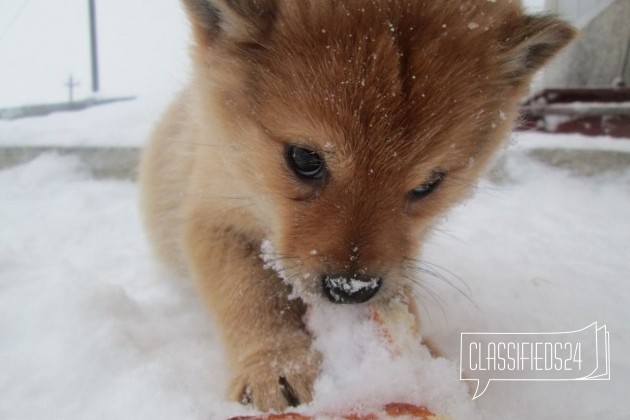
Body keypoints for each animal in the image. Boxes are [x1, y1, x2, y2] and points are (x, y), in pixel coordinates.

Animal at [141, 0, 576, 412]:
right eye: (304, 159)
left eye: (429, 185)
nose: (351, 290)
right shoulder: (211, 217)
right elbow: (250, 293)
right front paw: (277, 366)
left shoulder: (402, 256)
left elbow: (401, 292)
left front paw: (423, 359)